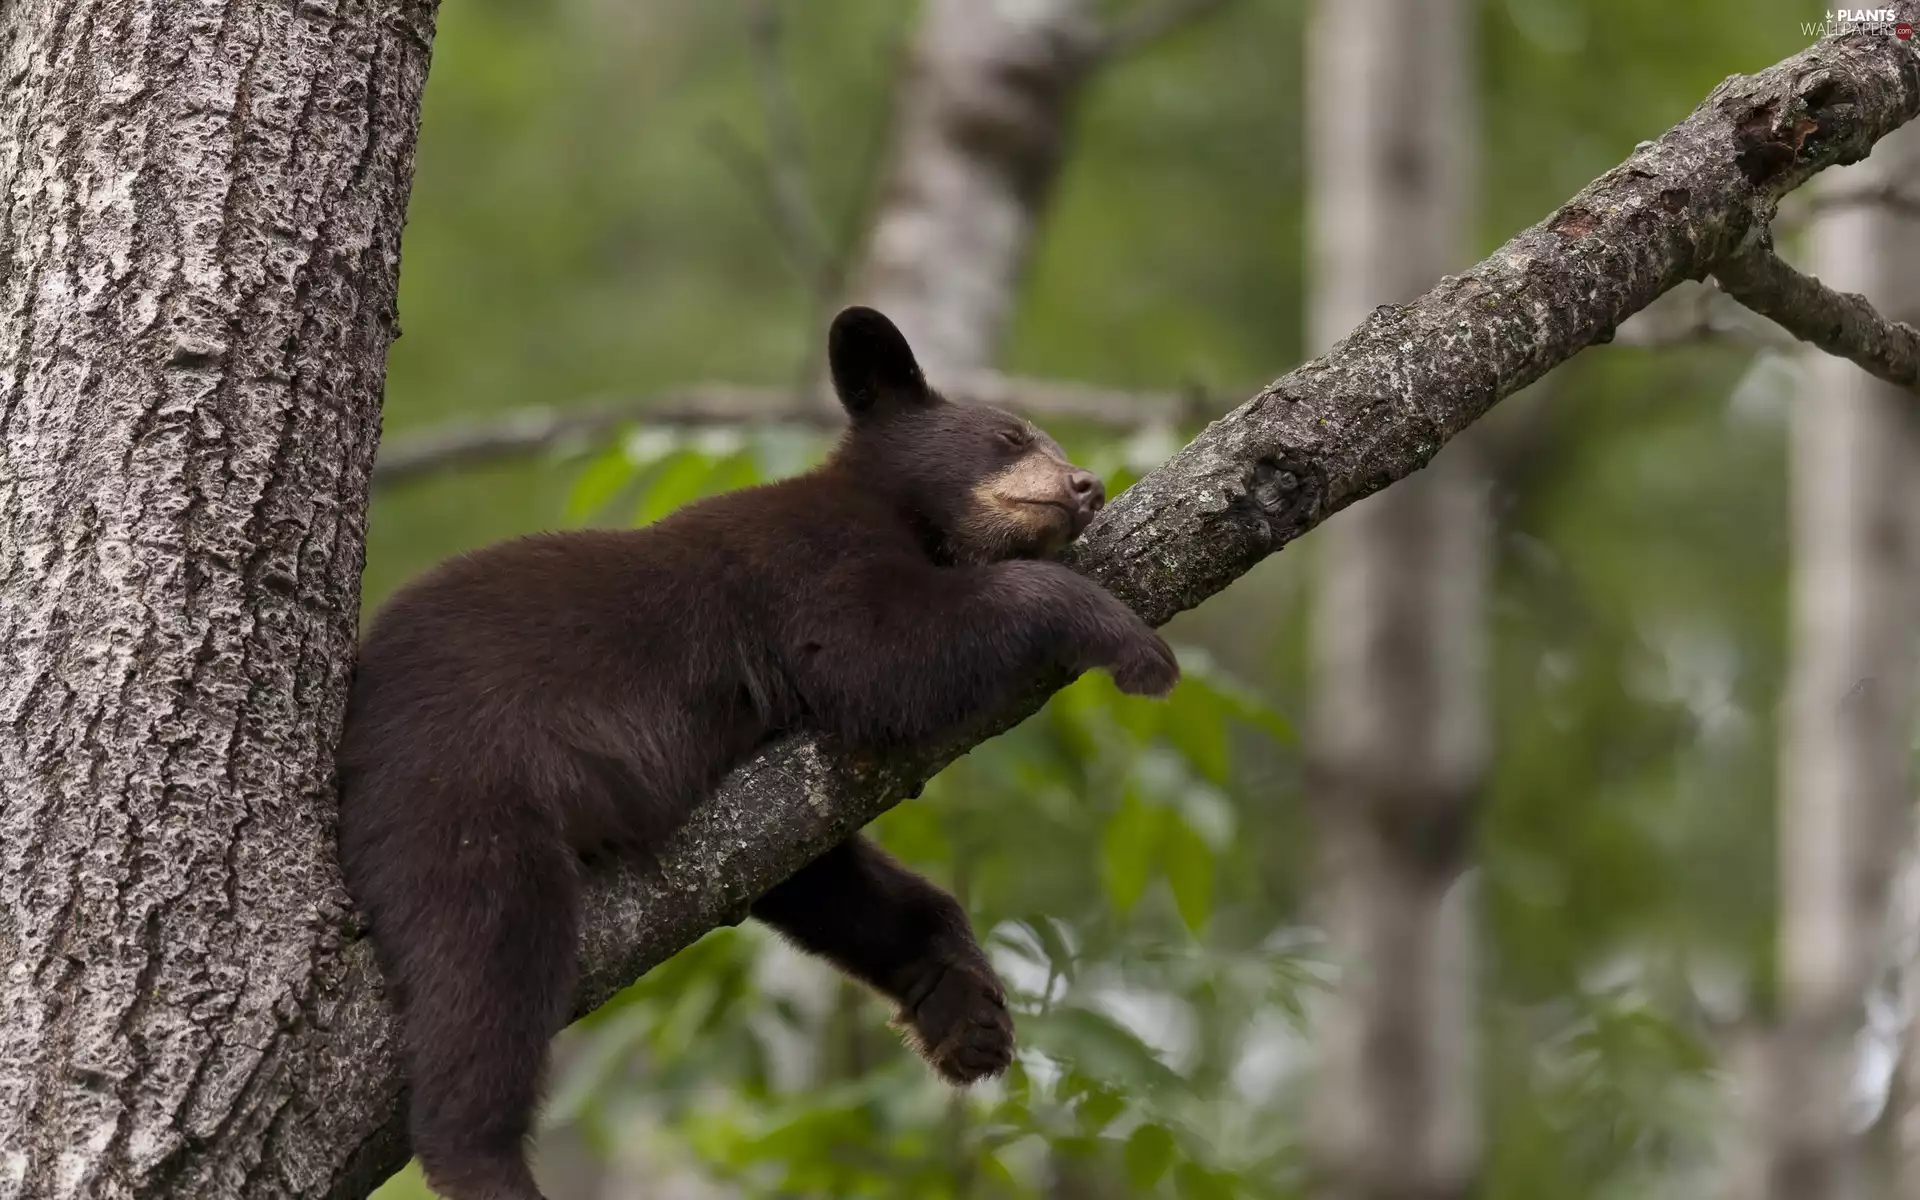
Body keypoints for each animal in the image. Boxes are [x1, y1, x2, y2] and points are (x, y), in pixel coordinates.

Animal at [335, 306, 1180, 1200]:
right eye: (1010, 435)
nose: (1087, 485)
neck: (897, 514)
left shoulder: (769, 777)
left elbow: (816, 871)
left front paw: (964, 1010)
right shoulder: (803, 565)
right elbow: (880, 657)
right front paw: (1127, 638)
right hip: (459, 786)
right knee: (488, 956)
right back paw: (485, 1159)